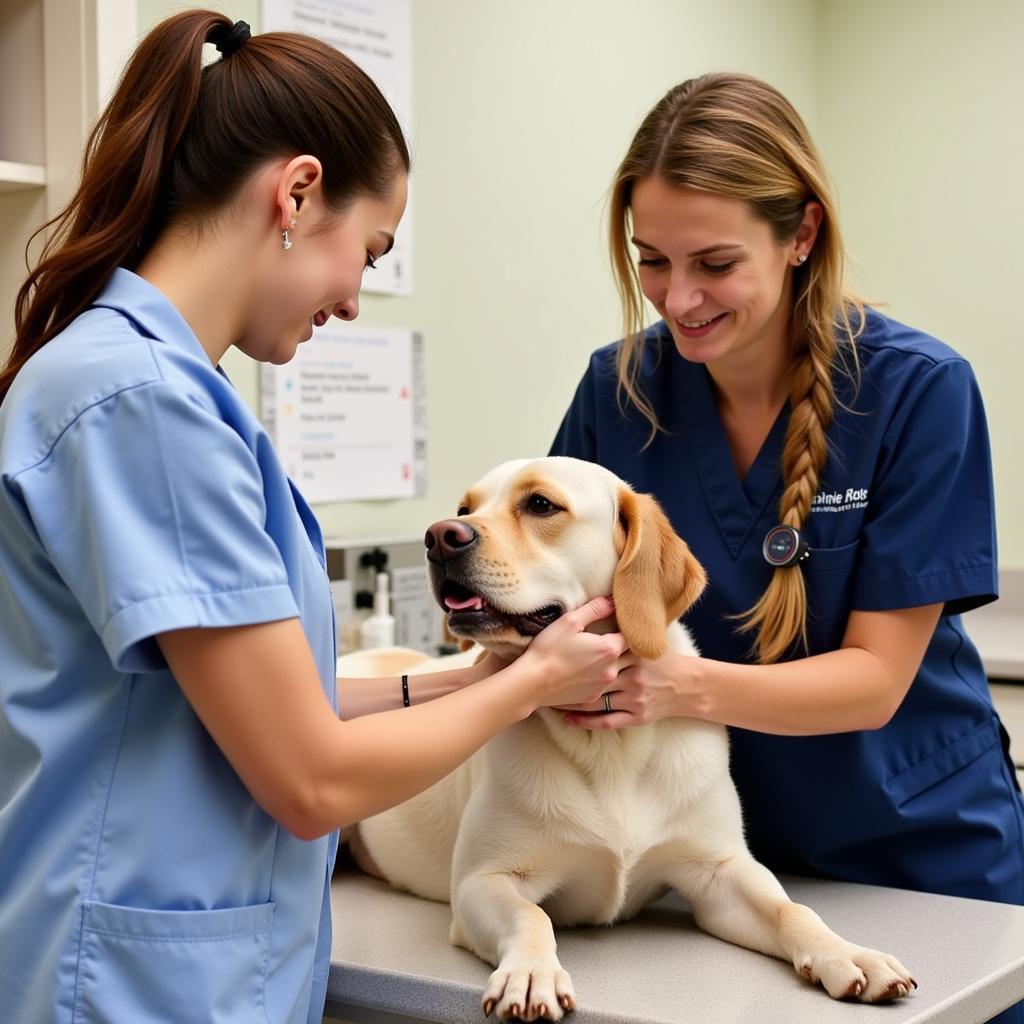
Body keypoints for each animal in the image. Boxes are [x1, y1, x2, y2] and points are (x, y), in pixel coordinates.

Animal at [348, 460, 917, 1019]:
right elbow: (533, 916)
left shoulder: (722, 871)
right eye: (465, 509)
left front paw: (849, 954)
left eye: (540, 504)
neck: (611, 746)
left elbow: (792, 908)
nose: (439, 537)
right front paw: (531, 973)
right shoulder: (482, 882)